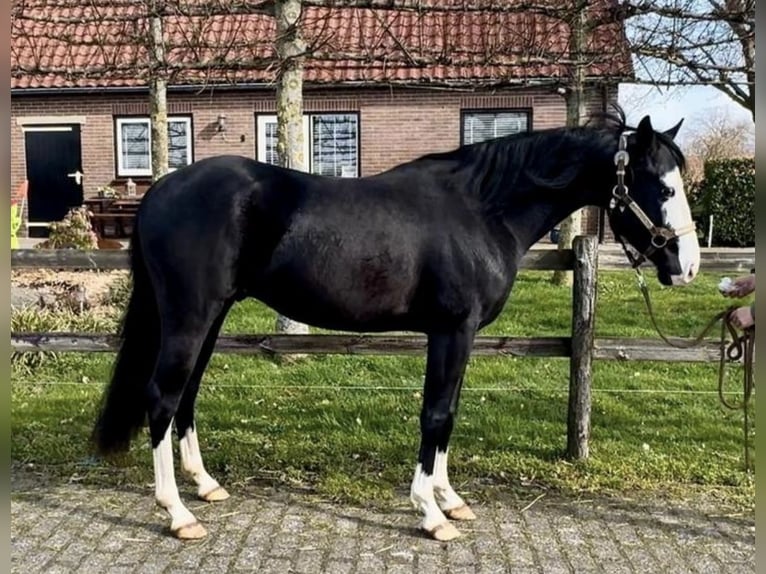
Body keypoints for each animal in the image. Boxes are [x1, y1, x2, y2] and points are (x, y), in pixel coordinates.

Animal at [91, 108, 700, 542]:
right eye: (663, 187)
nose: (687, 265)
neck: (482, 209)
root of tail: (160, 190)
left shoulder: (462, 336)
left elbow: (448, 415)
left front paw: (451, 499)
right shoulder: (452, 330)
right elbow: (436, 414)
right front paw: (431, 513)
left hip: (212, 316)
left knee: (187, 396)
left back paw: (205, 486)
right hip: (190, 316)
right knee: (163, 398)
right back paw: (177, 514)